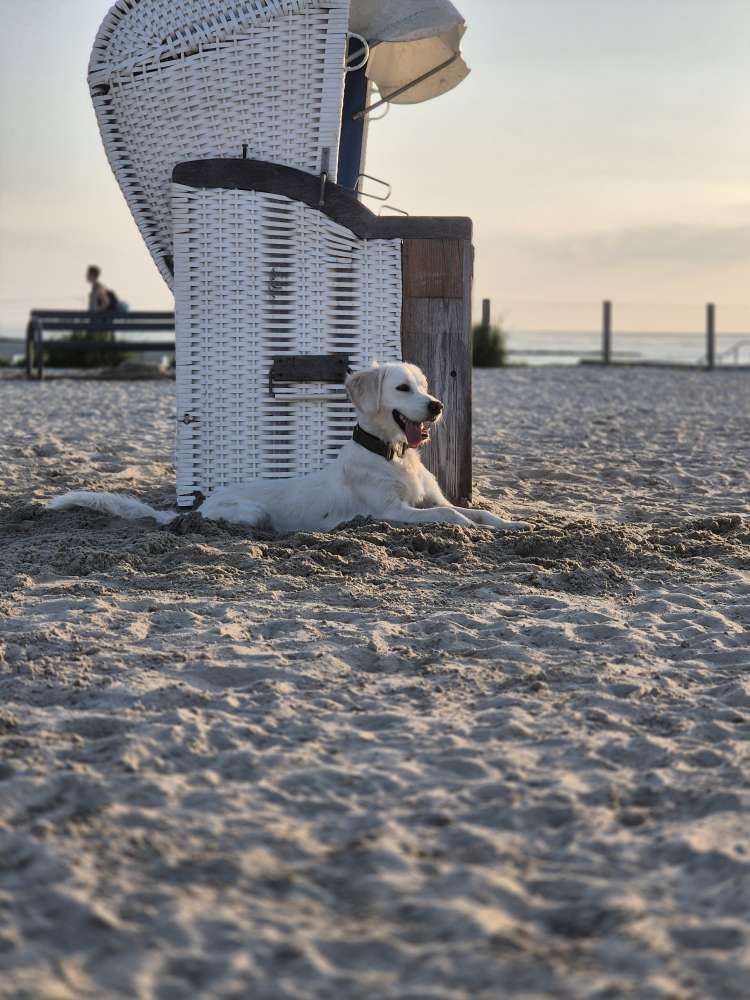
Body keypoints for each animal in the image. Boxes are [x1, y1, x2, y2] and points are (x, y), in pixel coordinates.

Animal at [48, 364, 528, 536]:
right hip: (251, 513)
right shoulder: (392, 512)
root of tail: (201, 505)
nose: (437, 405)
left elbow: (476, 512)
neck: (392, 455)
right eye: (402, 388)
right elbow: (449, 515)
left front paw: (510, 523)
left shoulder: (427, 499)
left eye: (424, 385)